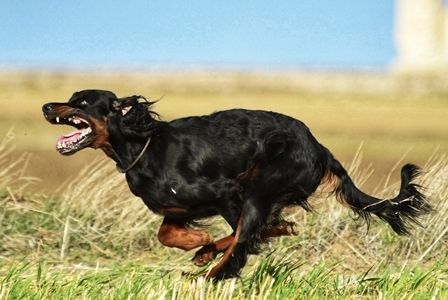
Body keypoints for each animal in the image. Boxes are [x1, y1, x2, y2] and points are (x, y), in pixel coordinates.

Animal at [42, 90, 430, 280]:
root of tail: (320, 148)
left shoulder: (226, 192)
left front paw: (201, 241)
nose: (47, 106)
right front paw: (197, 241)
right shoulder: (177, 207)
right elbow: (166, 233)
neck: (143, 145)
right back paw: (208, 255)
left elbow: (245, 231)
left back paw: (214, 271)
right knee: (265, 228)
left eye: (81, 102)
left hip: (261, 185)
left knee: (251, 234)